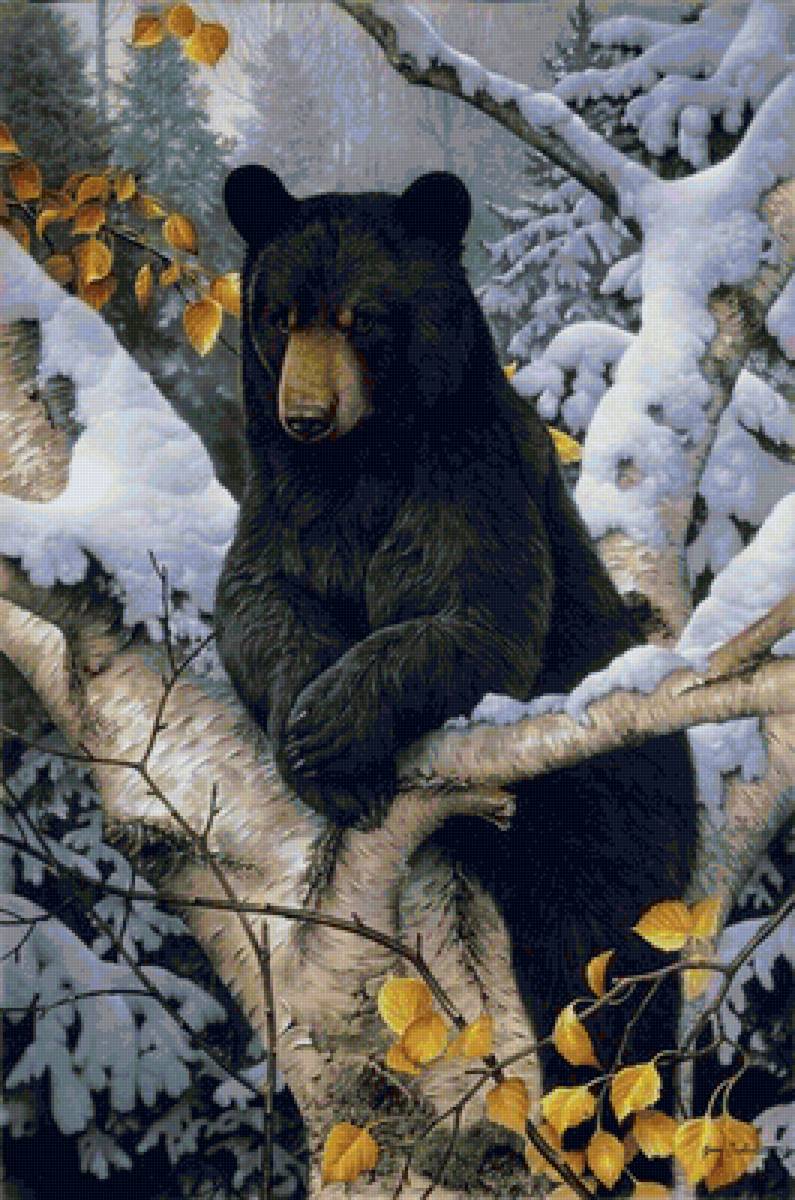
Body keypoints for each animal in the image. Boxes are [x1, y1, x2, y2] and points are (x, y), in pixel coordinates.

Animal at [215, 164, 698, 1183]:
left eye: (361, 318)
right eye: (279, 315)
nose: (304, 416)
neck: (359, 463)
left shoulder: (470, 471)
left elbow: (475, 616)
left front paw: (332, 726)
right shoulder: (286, 502)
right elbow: (257, 603)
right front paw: (311, 739)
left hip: (608, 821)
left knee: (602, 986)